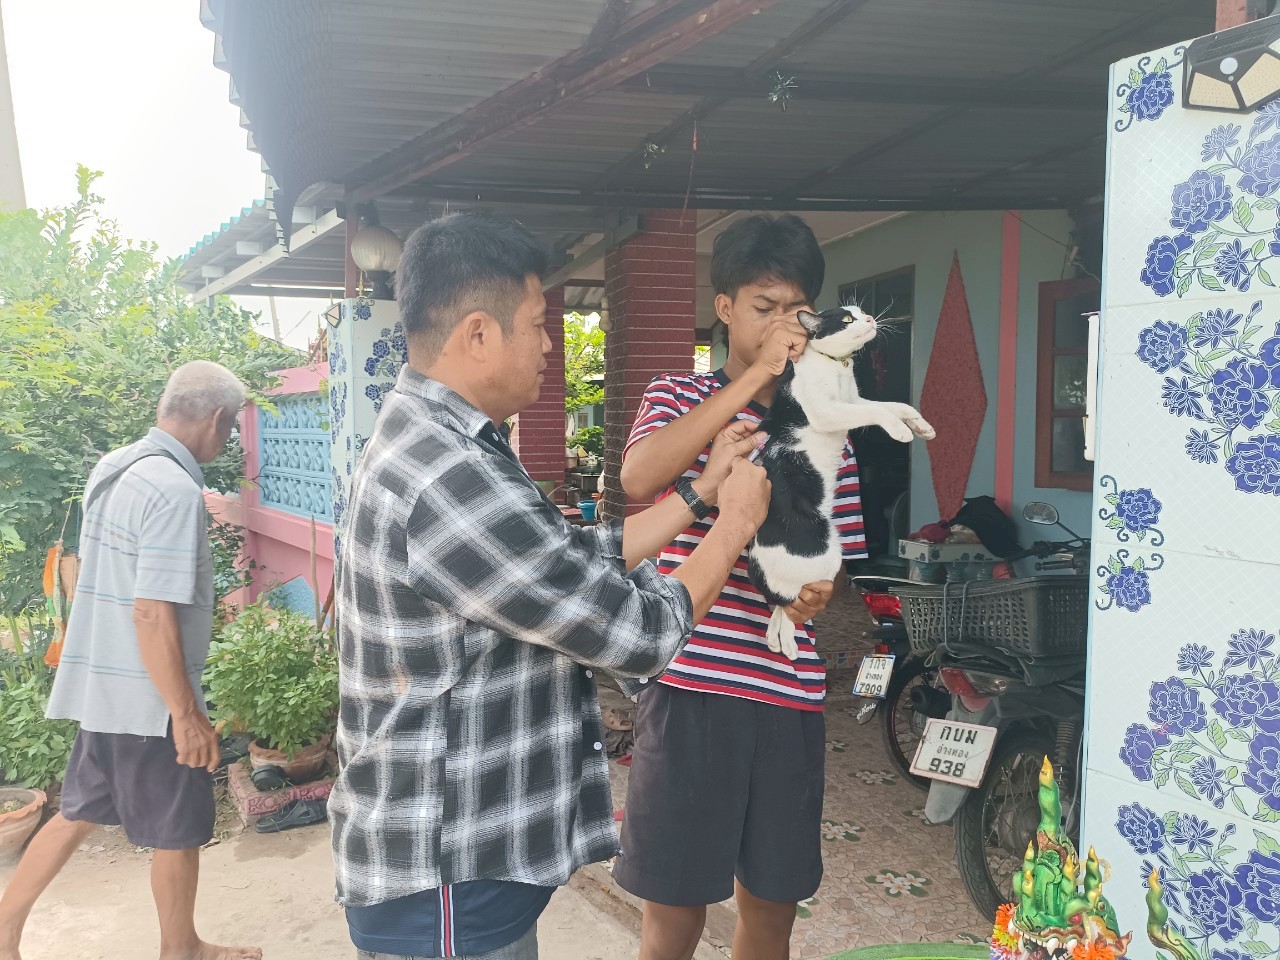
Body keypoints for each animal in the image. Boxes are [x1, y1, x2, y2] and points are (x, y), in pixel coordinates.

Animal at [747, 305, 936, 660]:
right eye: (847, 319)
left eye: (862, 312)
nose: (871, 319)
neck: (837, 367)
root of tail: (755, 557)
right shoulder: (830, 410)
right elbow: (881, 414)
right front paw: (901, 431)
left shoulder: (855, 400)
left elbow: (895, 406)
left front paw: (921, 425)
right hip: (827, 558)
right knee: (789, 609)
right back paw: (790, 648)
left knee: (778, 611)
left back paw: (776, 643)